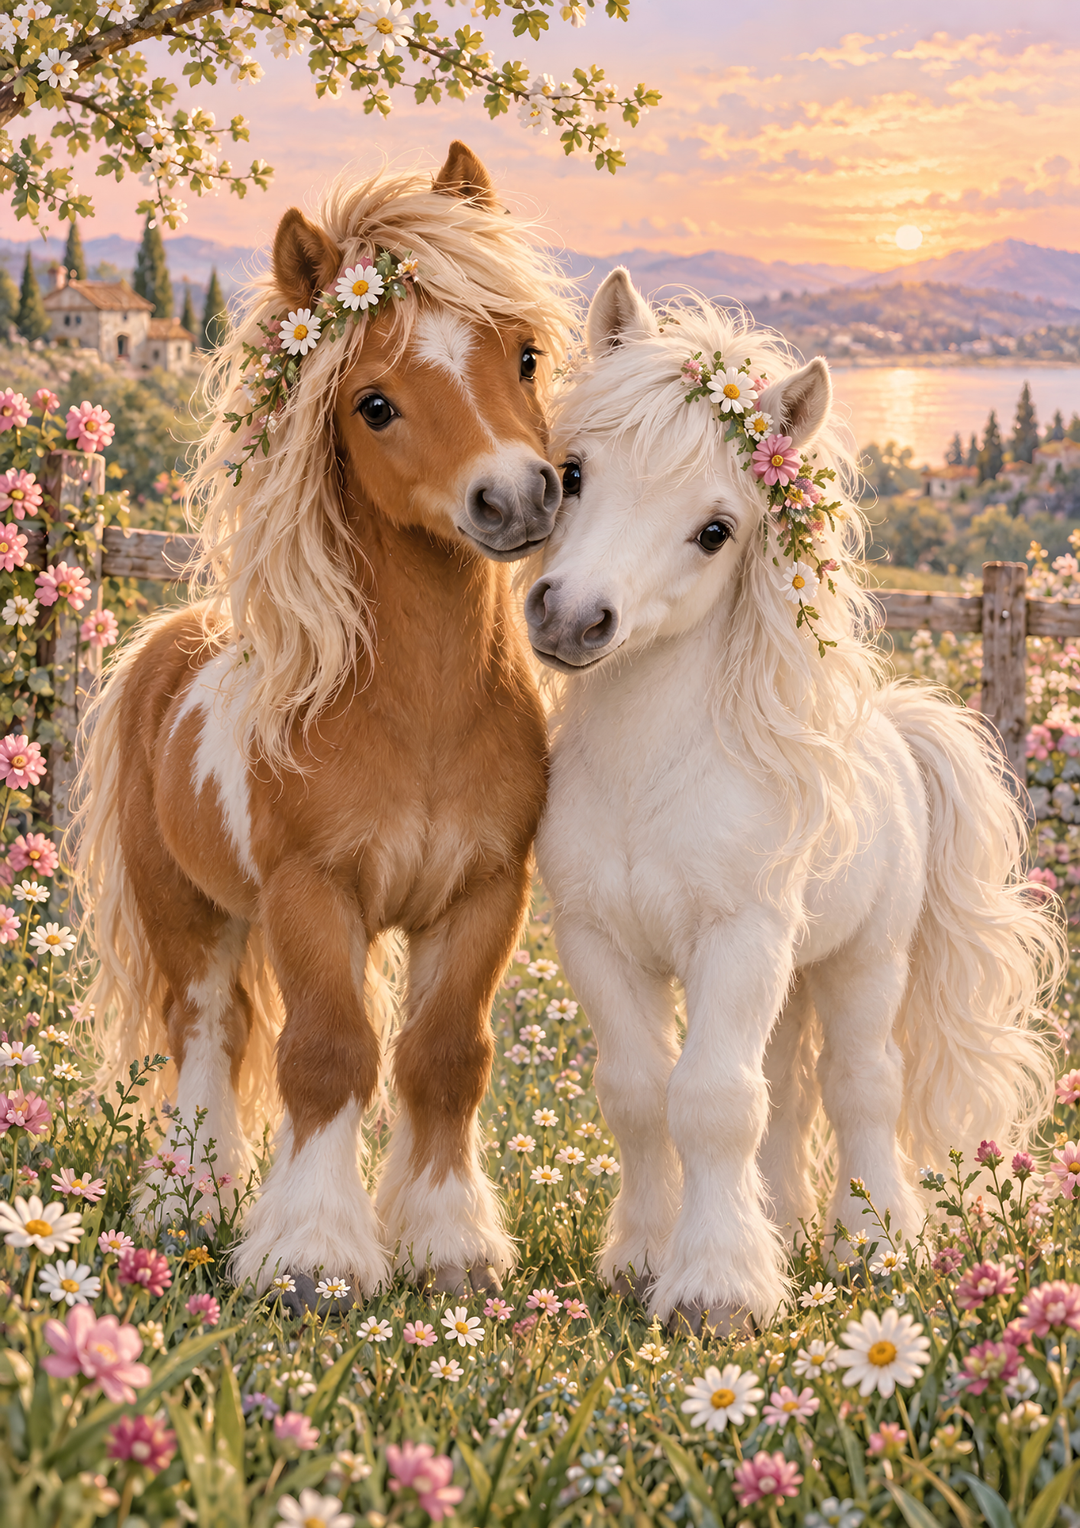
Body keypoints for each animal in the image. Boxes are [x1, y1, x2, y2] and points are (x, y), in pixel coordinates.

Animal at [77, 142, 575, 1308]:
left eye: (525, 355)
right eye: (375, 404)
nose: (515, 497)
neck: (419, 719)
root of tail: (167, 641)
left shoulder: (485, 893)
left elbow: (444, 1056)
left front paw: (448, 1246)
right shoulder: (314, 894)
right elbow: (327, 1054)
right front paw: (311, 1256)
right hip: (193, 912)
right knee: (207, 1034)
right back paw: (188, 1202)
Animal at [525, 268, 1064, 1335]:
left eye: (715, 531)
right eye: (573, 472)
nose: (571, 618)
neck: (650, 778)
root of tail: (895, 731)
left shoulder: (740, 937)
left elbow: (712, 1102)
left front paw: (716, 1290)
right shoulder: (598, 942)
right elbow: (641, 1093)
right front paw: (644, 1259)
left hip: (861, 962)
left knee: (858, 1090)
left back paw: (872, 1246)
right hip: (790, 974)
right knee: (784, 1086)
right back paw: (779, 1224)